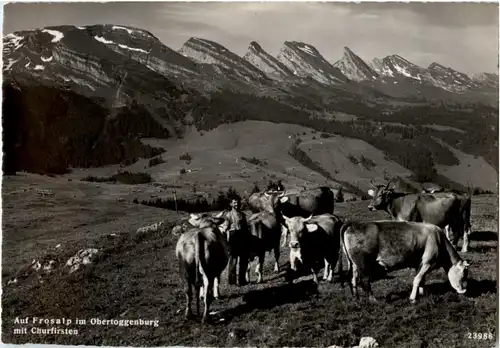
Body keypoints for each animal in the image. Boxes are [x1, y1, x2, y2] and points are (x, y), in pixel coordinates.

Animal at [342, 222, 470, 304]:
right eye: (464, 274)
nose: (464, 290)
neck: (439, 240)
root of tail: (353, 224)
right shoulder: (428, 262)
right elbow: (417, 279)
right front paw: (413, 298)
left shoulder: (420, 264)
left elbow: (421, 279)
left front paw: (422, 293)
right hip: (363, 264)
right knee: (364, 281)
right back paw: (373, 300)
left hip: (354, 264)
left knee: (352, 279)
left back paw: (356, 298)